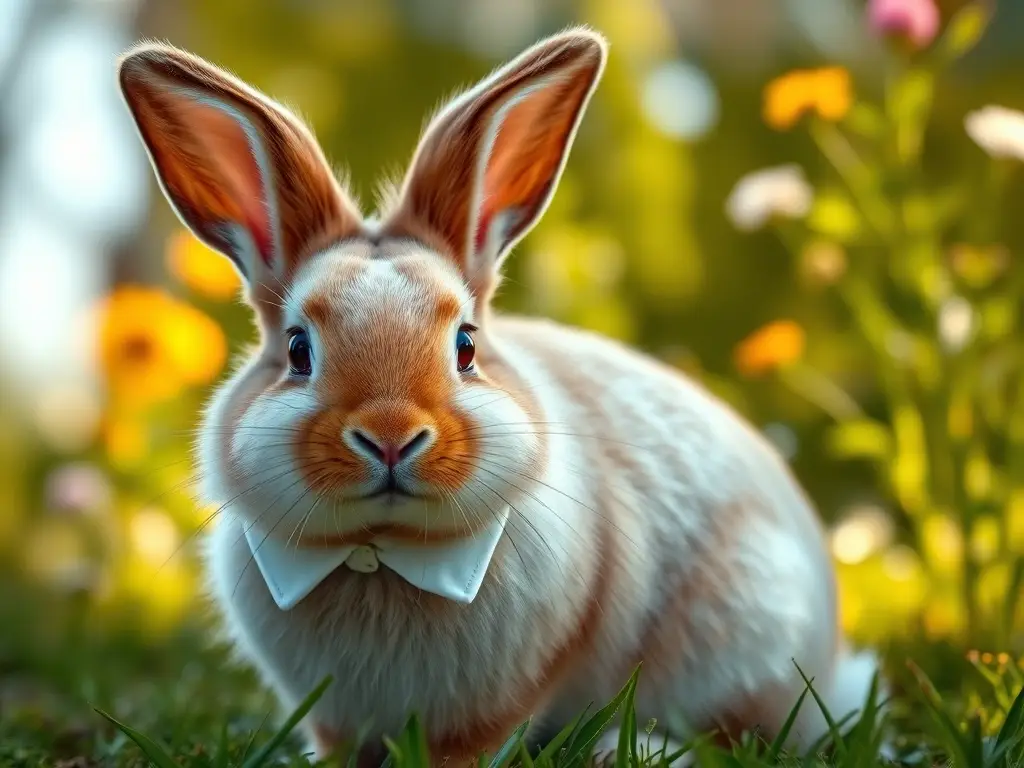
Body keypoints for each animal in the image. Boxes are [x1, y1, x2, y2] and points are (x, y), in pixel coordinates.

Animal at [117, 26, 881, 766]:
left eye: (466, 346)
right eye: (299, 351)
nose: (390, 438)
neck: (381, 551)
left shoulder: (499, 704)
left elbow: (472, 745)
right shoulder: (334, 716)